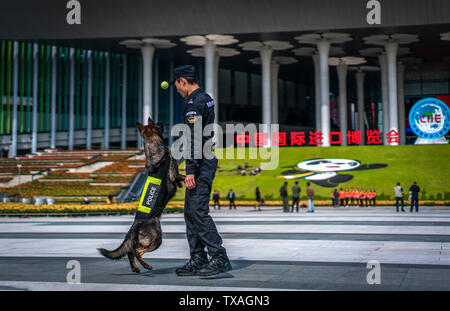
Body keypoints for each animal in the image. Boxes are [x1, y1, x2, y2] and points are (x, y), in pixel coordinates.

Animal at [97, 117, 185, 272]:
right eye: (156, 124)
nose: (163, 122)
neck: (155, 151)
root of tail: (134, 226)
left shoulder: (175, 175)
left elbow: (180, 177)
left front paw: (182, 183)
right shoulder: (173, 173)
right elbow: (181, 175)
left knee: (131, 251)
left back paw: (136, 268)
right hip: (157, 238)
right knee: (137, 251)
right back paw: (146, 265)